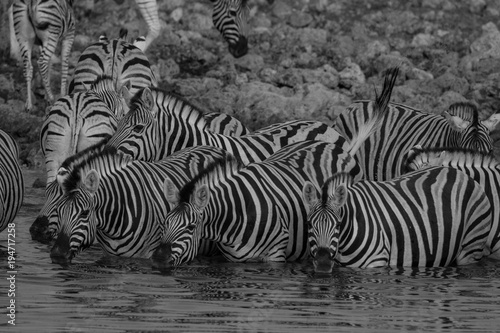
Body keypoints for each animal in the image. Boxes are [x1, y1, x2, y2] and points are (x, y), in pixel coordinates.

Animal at [304, 166, 492, 272]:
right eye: (309, 224)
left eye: (338, 224)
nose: (322, 264)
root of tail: (460, 173)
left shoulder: (376, 263)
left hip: (471, 248)